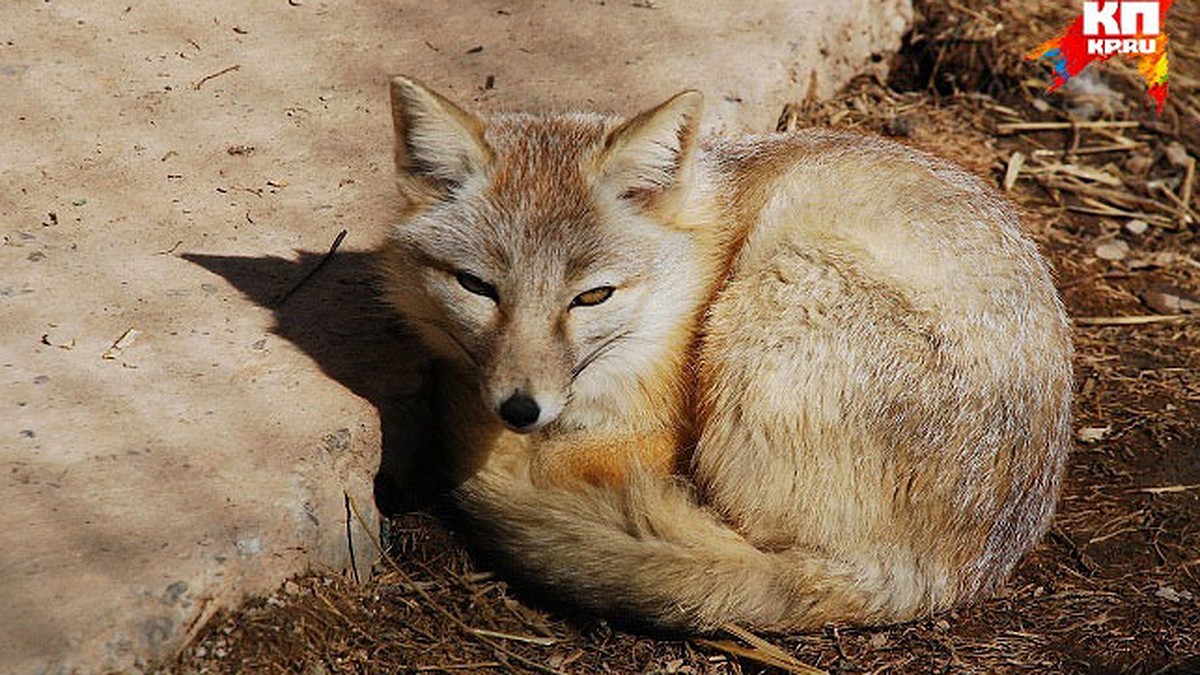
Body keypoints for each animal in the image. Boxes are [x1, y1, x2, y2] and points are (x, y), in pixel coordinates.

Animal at [379, 76, 1075, 634]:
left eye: (593, 296)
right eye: (478, 287)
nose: (520, 410)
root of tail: (936, 574)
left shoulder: (667, 427)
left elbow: (562, 464)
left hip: (770, 298)